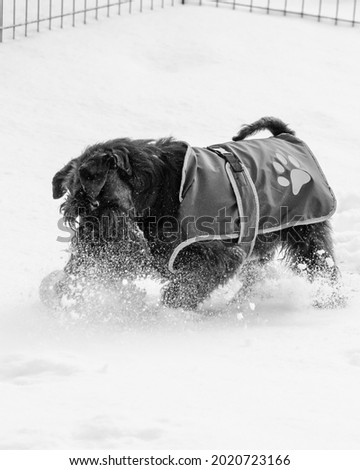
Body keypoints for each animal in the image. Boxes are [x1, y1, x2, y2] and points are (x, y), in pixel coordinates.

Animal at [52, 116, 338, 308]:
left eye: (97, 202)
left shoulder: (218, 257)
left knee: (324, 267)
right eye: (73, 212)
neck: (157, 189)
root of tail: (286, 136)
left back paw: (330, 300)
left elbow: (186, 288)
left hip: (307, 235)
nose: (87, 250)